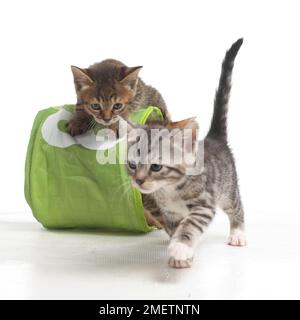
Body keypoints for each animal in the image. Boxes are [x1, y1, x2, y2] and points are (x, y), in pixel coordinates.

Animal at [125, 38, 245, 268]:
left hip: (227, 189)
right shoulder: (170, 214)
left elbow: (190, 225)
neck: (168, 190)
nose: (139, 181)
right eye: (132, 165)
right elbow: (175, 228)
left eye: (156, 166)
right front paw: (182, 254)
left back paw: (238, 233)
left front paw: (181, 247)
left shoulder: (204, 204)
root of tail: (214, 138)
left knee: (237, 206)